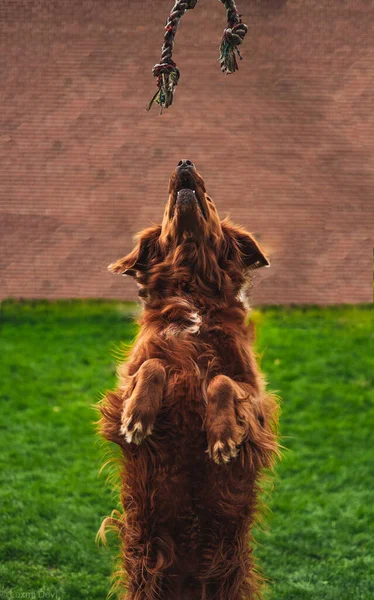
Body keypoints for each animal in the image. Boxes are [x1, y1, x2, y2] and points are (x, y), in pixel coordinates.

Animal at [98, 161, 280, 600]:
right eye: (166, 205)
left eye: (209, 197)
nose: (184, 163)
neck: (193, 291)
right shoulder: (126, 381)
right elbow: (154, 367)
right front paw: (138, 419)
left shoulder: (255, 399)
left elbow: (221, 382)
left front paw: (222, 437)